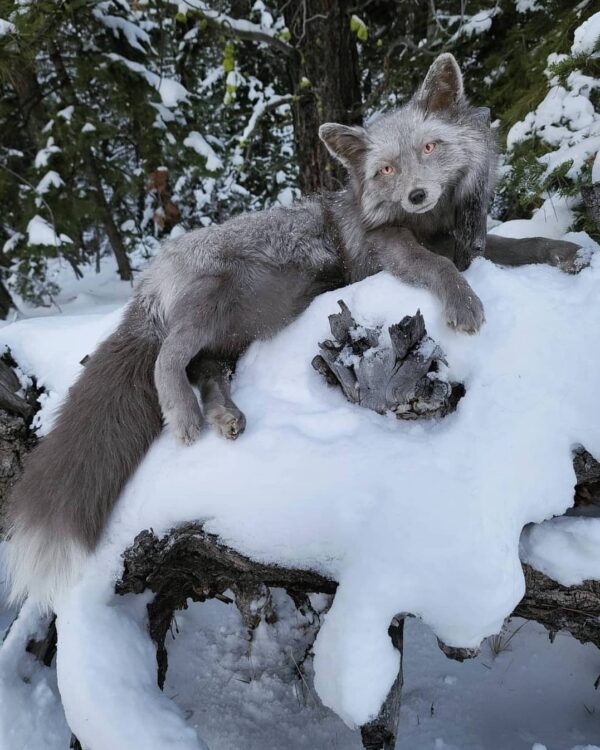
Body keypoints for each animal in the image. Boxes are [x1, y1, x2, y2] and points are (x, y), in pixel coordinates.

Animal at [5, 53, 581, 609]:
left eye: (430, 147)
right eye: (386, 169)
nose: (416, 194)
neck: (431, 224)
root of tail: (148, 278)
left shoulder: (471, 245)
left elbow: (516, 245)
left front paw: (564, 253)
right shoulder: (388, 251)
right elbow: (437, 267)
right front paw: (464, 302)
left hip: (231, 338)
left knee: (206, 371)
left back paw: (226, 416)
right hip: (210, 302)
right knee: (166, 358)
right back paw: (184, 415)